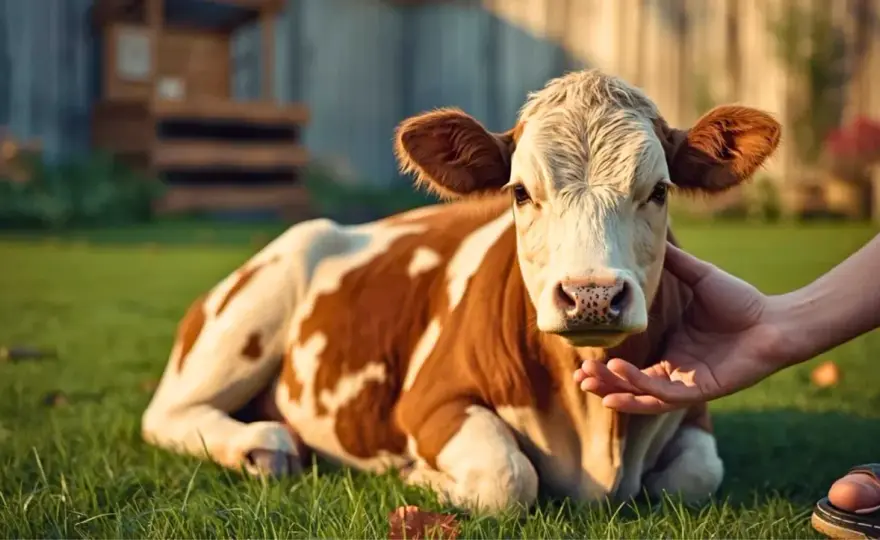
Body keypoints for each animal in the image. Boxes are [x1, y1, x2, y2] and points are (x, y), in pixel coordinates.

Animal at [141, 68, 781, 514]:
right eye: (520, 191)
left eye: (659, 191)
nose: (592, 295)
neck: (597, 437)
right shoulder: (429, 401)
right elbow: (507, 478)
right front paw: (419, 475)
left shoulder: (691, 407)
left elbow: (694, 477)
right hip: (255, 305)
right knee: (166, 415)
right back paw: (261, 445)